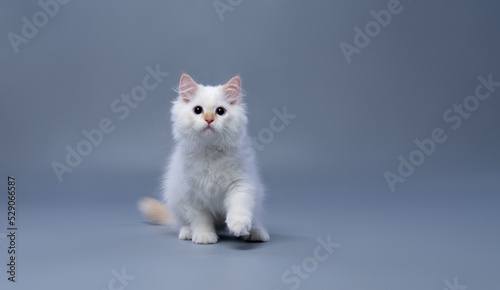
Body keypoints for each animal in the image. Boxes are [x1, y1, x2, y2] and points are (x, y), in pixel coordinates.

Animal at [137, 73, 270, 245]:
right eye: (198, 110)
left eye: (220, 111)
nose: (208, 119)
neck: (210, 152)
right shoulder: (192, 193)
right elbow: (200, 219)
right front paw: (204, 236)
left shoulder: (241, 183)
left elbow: (239, 206)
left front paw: (238, 225)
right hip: (176, 199)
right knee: (183, 222)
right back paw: (187, 232)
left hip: (257, 197)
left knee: (255, 219)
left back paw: (255, 233)